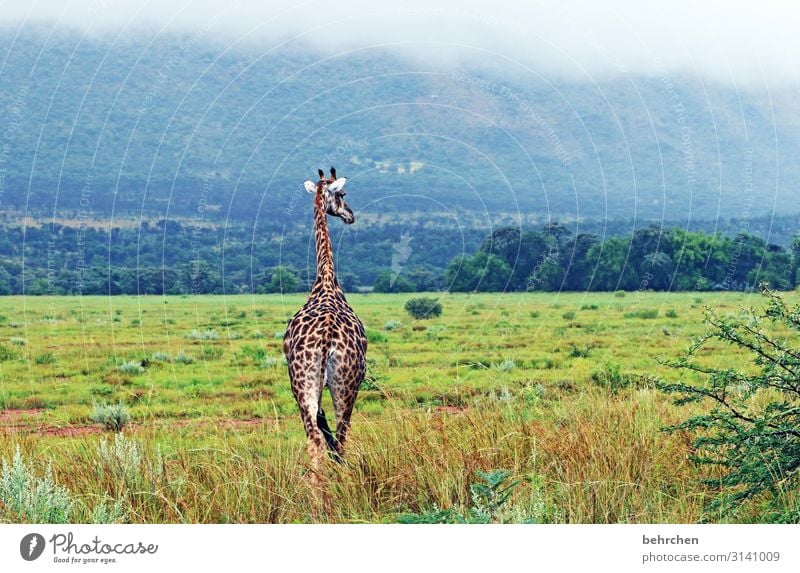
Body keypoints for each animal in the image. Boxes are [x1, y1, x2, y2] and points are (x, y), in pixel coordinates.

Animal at [282, 166, 368, 478]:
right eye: (342, 193)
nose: (350, 215)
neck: (326, 280)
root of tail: (326, 341)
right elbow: (334, 437)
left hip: (302, 382)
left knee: (315, 438)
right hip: (346, 383)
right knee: (340, 437)